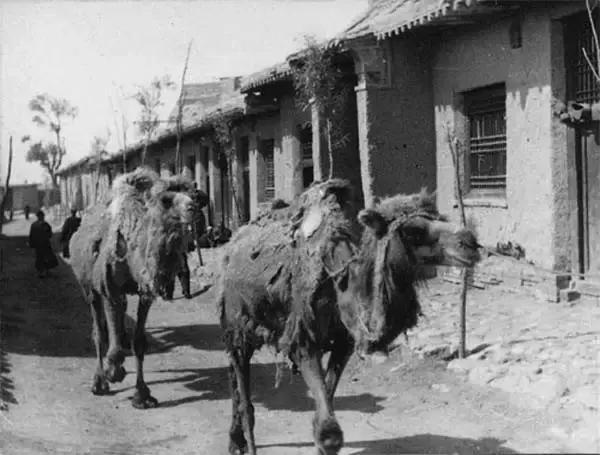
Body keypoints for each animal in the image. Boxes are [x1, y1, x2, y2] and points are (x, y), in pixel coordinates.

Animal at [69, 168, 195, 410]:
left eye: (192, 194)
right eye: (166, 200)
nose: (193, 207)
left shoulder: (146, 292)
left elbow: (139, 342)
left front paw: (142, 395)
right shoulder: (109, 288)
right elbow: (111, 339)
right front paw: (113, 372)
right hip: (89, 289)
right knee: (99, 331)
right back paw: (99, 382)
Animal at [218, 182, 480, 455]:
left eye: (441, 218)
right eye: (412, 230)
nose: (469, 241)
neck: (340, 286)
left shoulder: (343, 344)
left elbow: (326, 411)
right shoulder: (303, 340)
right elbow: (329, 433)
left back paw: (237, 440)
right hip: (236, 323)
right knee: (238, 376)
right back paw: (240, 440)